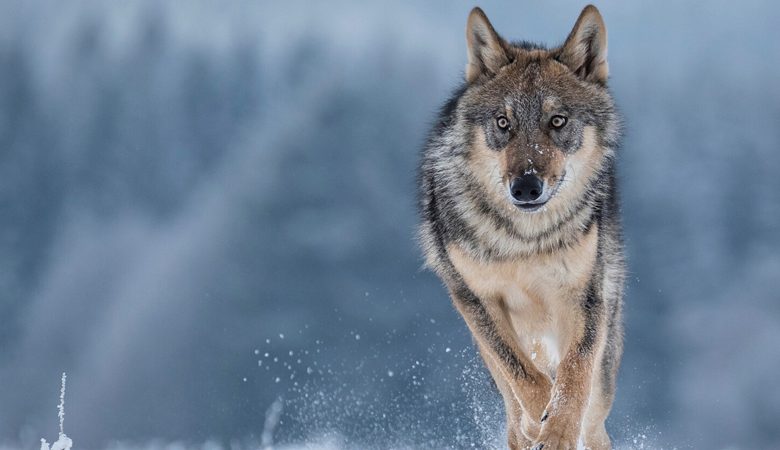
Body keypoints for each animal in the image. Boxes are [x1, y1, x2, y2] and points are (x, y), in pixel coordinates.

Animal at [418, 4, 624, 450]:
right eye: (503, 122)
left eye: (557, 121)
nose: (526, 187)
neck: (525, 240)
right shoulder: (477, 300)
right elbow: (522, 375)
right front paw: (540, 423)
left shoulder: (584, 297)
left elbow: (574, 374)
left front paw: (559, 430)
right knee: (513, 397)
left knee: (595, 420)